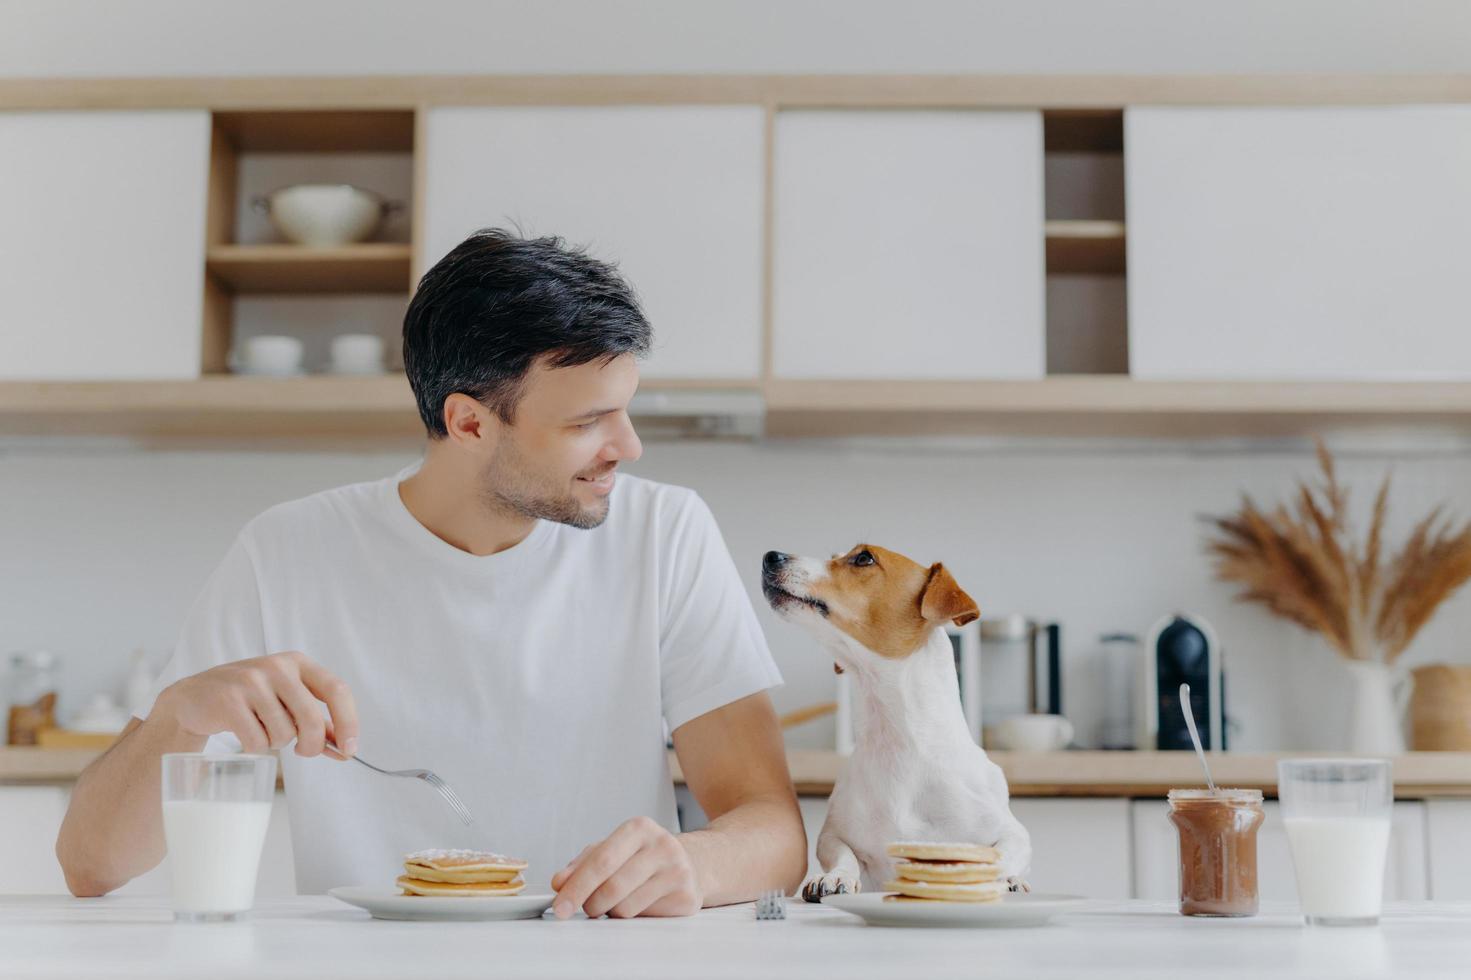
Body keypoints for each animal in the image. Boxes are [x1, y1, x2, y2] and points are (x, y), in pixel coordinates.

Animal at [759, 541, 1035, 900]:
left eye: (864, 558)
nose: (770, 556)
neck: (898, 740)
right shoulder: (833, 834)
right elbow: (843, 854)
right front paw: (836, 877)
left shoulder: (1012, 832)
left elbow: (1002, 854)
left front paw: (1005, 881)